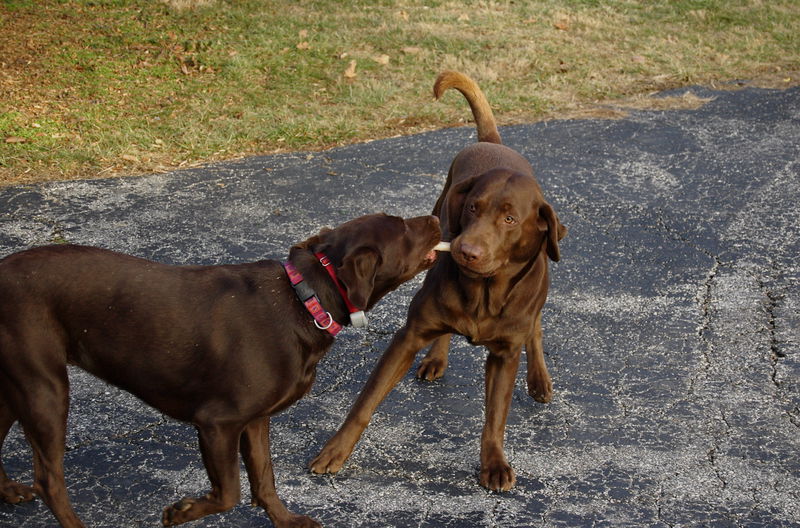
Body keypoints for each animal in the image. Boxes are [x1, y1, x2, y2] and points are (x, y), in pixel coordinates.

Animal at [0, 212, 441, 527]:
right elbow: (230, 492)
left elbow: (264, 479)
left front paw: (286, 521)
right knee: (50, 480)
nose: (436, 218)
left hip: (15, 389)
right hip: (45, 389)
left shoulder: (256, 420)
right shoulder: (217, 423)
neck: (304, 299)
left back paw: (8, 490)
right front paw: (181, 512)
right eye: (404, 226)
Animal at [310, 71, 566, 492]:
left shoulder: (504, 355)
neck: (483, 291)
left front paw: (494, 463)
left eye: (510, 219)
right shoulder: (408, 337)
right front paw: (336, 450)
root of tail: (492, 142)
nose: (465, 250)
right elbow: (365, 402)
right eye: (473, 208)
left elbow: (495, 417)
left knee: (537, 327)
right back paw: (436, 357)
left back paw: (539, 379)